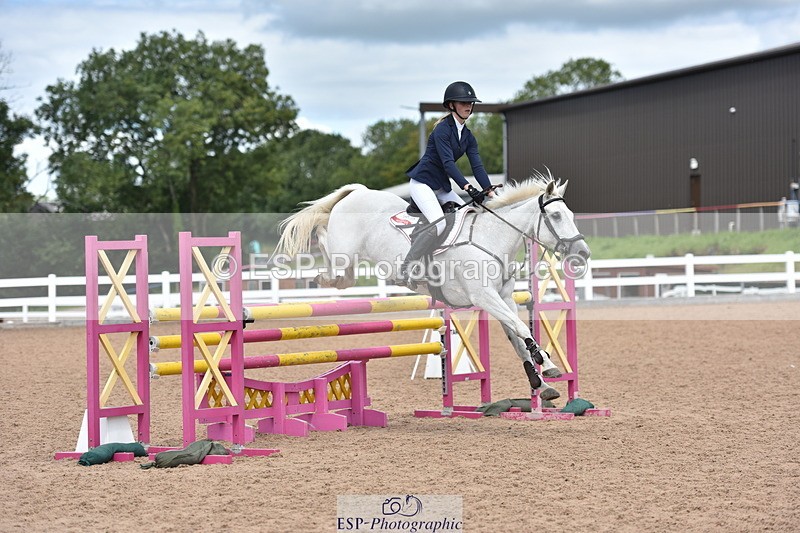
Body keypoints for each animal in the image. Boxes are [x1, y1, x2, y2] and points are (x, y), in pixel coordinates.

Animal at [276, 172, 591, 401]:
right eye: (556, 216)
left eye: (570, 215)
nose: (583, 253)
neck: (491, 238)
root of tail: (358, 191)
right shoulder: (484, 296)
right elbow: (522, 327)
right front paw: (547, 364)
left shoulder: (503, 297)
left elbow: (517, 335)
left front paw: (541, 383)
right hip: (343, 249)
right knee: (325, 243)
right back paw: (319, 268)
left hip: (350, 264)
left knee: (344, 278)